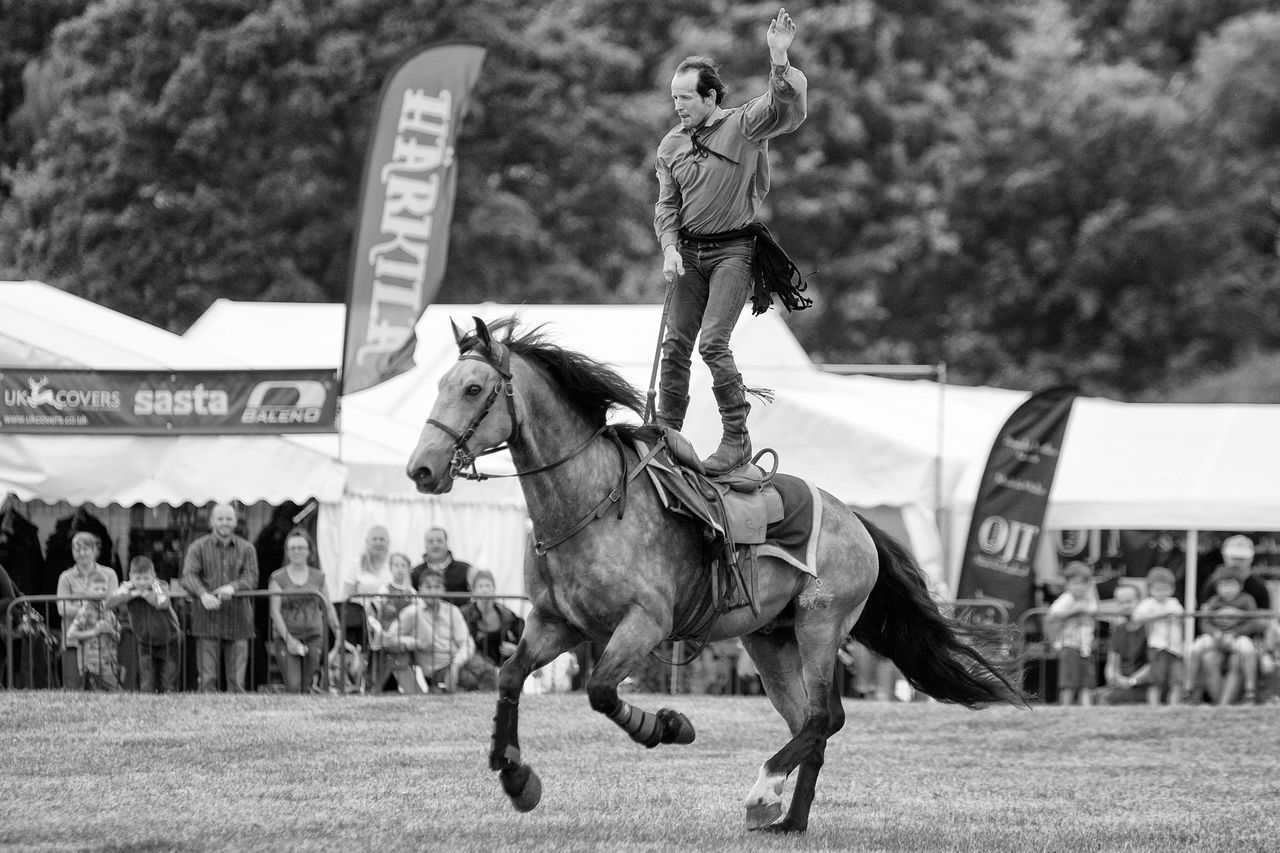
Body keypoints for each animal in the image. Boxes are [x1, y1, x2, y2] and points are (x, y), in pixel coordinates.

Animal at [404, 317, 1024, 829]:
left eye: (474, 389)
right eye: (437, 385)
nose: (421, 469)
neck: (592, 503)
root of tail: (852, 517)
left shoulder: (643, 626)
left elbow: (600, 691)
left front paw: (667, 726)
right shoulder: (557, 623)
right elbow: (509, 676)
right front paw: (515, 776)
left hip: (820, 627)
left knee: (826, 716)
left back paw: (764, 791)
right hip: (770, 642)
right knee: (811, 724)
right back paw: (788, 821)